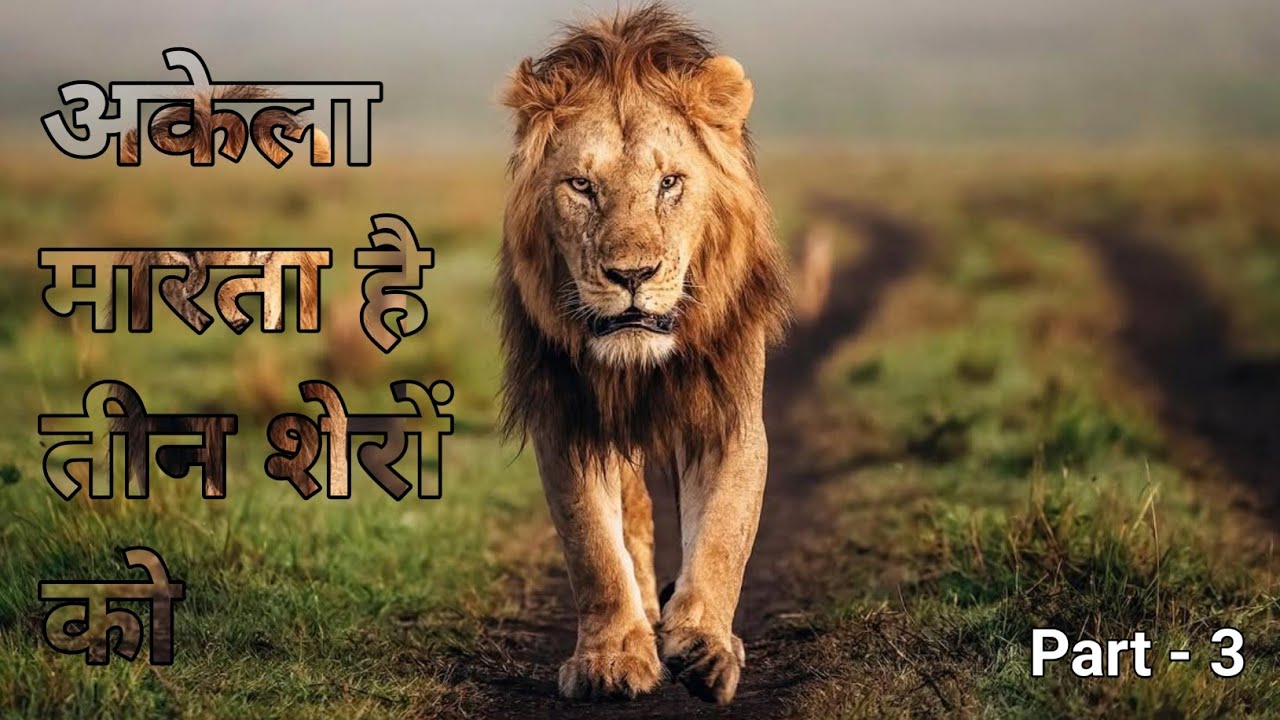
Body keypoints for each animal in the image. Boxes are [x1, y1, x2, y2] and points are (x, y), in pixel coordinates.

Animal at [498, 4, 789, 705]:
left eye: (669, 183)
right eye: (581, 185)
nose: (632, 275)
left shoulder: (727, 413)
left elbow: (723, 533)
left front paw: (706, 645)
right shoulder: (567, 419)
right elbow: (594, 549)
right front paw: (611, 658)